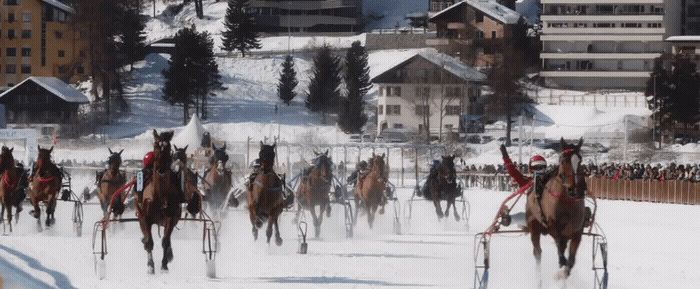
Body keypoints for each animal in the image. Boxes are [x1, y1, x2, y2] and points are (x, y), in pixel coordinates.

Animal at [137, 129, 183, 274]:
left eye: (168, 147)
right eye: (156, 145)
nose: (161, 169)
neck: (159, 195)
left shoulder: (171, 217)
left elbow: (165, 240)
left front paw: (164, 265)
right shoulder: (145, 217)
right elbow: (149, 241)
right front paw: (150, 266)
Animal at [528, 138, 588, 278]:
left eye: (580, 160)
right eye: (563, 160)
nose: (573, 188)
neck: (568, 202)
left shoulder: (577, 231)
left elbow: (571, 261)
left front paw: (563, 273)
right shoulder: (552, 225)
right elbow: (558, 243)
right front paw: (561, 262)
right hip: (533, 224)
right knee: (537, 252)